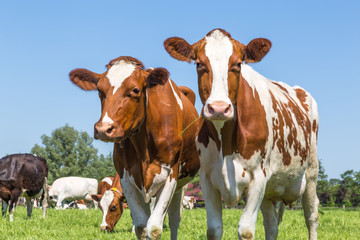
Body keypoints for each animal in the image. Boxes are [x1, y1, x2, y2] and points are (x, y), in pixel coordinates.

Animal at [69, 56, 200, 240]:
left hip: (181, 185)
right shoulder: (128, 179)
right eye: (99, 90)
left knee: (175, 219)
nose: (103, 129)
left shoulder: (170, 176)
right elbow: (140, 226)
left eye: (136, 90)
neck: (143, 143)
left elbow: (154, 227)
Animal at [165, 28, 320, 240]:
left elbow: (246, 230)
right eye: (199, 63)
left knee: (311, 216)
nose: (219, 108)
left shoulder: (258, 177)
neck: (226, 145)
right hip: (270, 190)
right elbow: (214, 229)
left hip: (311, 172)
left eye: (237, 64)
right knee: (272, 225)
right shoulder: (207, 178)